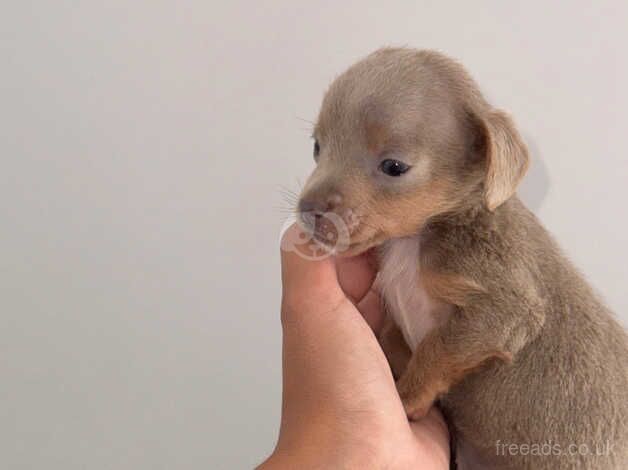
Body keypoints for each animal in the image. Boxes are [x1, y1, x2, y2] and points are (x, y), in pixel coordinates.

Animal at [298, 48, 628, 470]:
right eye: (317, 147)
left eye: (394, 166)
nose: (308, 210)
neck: (414, 241)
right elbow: (396, 336)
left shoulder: (503, 310)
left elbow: (436, 349)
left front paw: (405, 398)